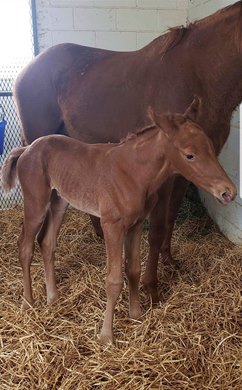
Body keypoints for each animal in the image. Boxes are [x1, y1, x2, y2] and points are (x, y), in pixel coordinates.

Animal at [0, 99, 235, 342]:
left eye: (210, 147)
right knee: (25, 246)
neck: (132, 174)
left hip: (59, 202)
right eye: (189, 155)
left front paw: (136, 315)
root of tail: (27, 149)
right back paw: (28, 303)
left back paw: (53, 297)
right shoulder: (111, 225)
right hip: (36, 203)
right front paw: (106, 336)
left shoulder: (136, 224)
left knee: (46, 242)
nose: (228, 192)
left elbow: (133, 269)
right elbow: (114, 280)